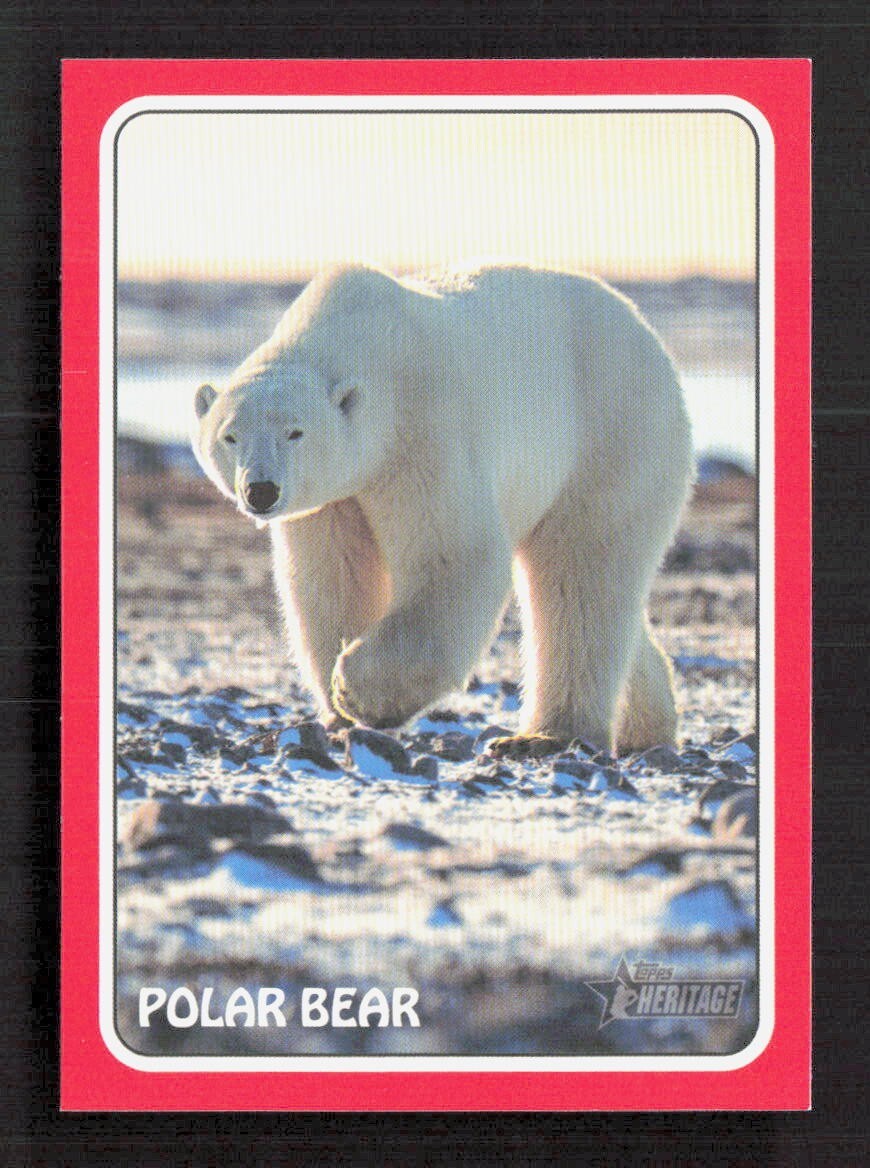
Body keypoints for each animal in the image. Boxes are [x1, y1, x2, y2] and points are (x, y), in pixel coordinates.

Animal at [191, 263, 693, 756]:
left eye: (295, 432)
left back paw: (549, 735)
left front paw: (354, 691)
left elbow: (454, 556)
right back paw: (646, 726)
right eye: (230, 436)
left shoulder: (423, 433)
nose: (261, 490)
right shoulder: (334, 498)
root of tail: (647, 334)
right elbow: (333, 576)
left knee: (579, 569)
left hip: (612, 433)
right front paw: (337, 709)